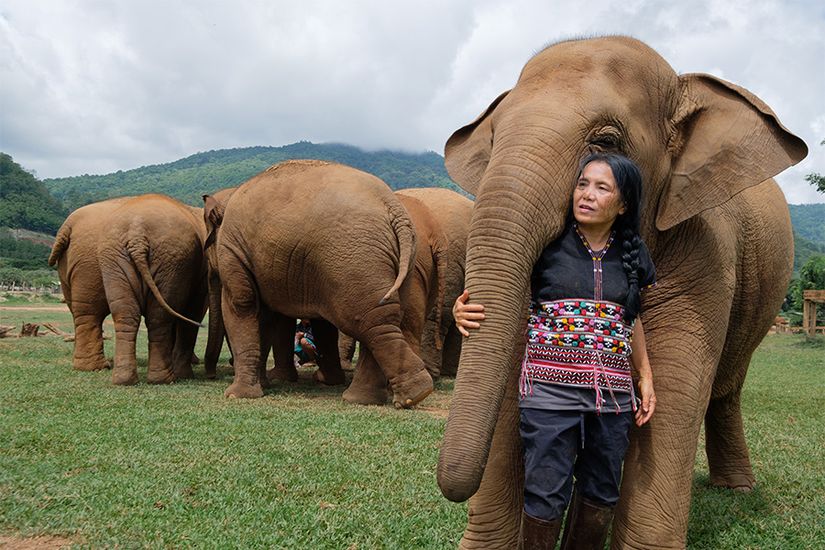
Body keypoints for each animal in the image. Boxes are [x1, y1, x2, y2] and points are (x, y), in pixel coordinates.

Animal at [49, 196, 208, 386]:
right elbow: (193, 311)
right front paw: (189, 369)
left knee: (99, 312)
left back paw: (106, 372)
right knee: (156, 315)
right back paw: (164, 378)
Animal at [212, 160, 434, 410]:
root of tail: (394, 210)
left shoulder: (232, 249)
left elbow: (241, 303)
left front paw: (236, 395)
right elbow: (277, 317)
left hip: (354, 259)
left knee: (370, 322)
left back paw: (408, 395)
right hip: (399, 264)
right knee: (381, 319)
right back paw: (384, 396)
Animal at [434, 36, 808, 548]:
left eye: (606, 142)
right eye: (492, 142)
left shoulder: (708, 255)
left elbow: (669, 391)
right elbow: (512, 374)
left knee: (726, 390)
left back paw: (737, 490)